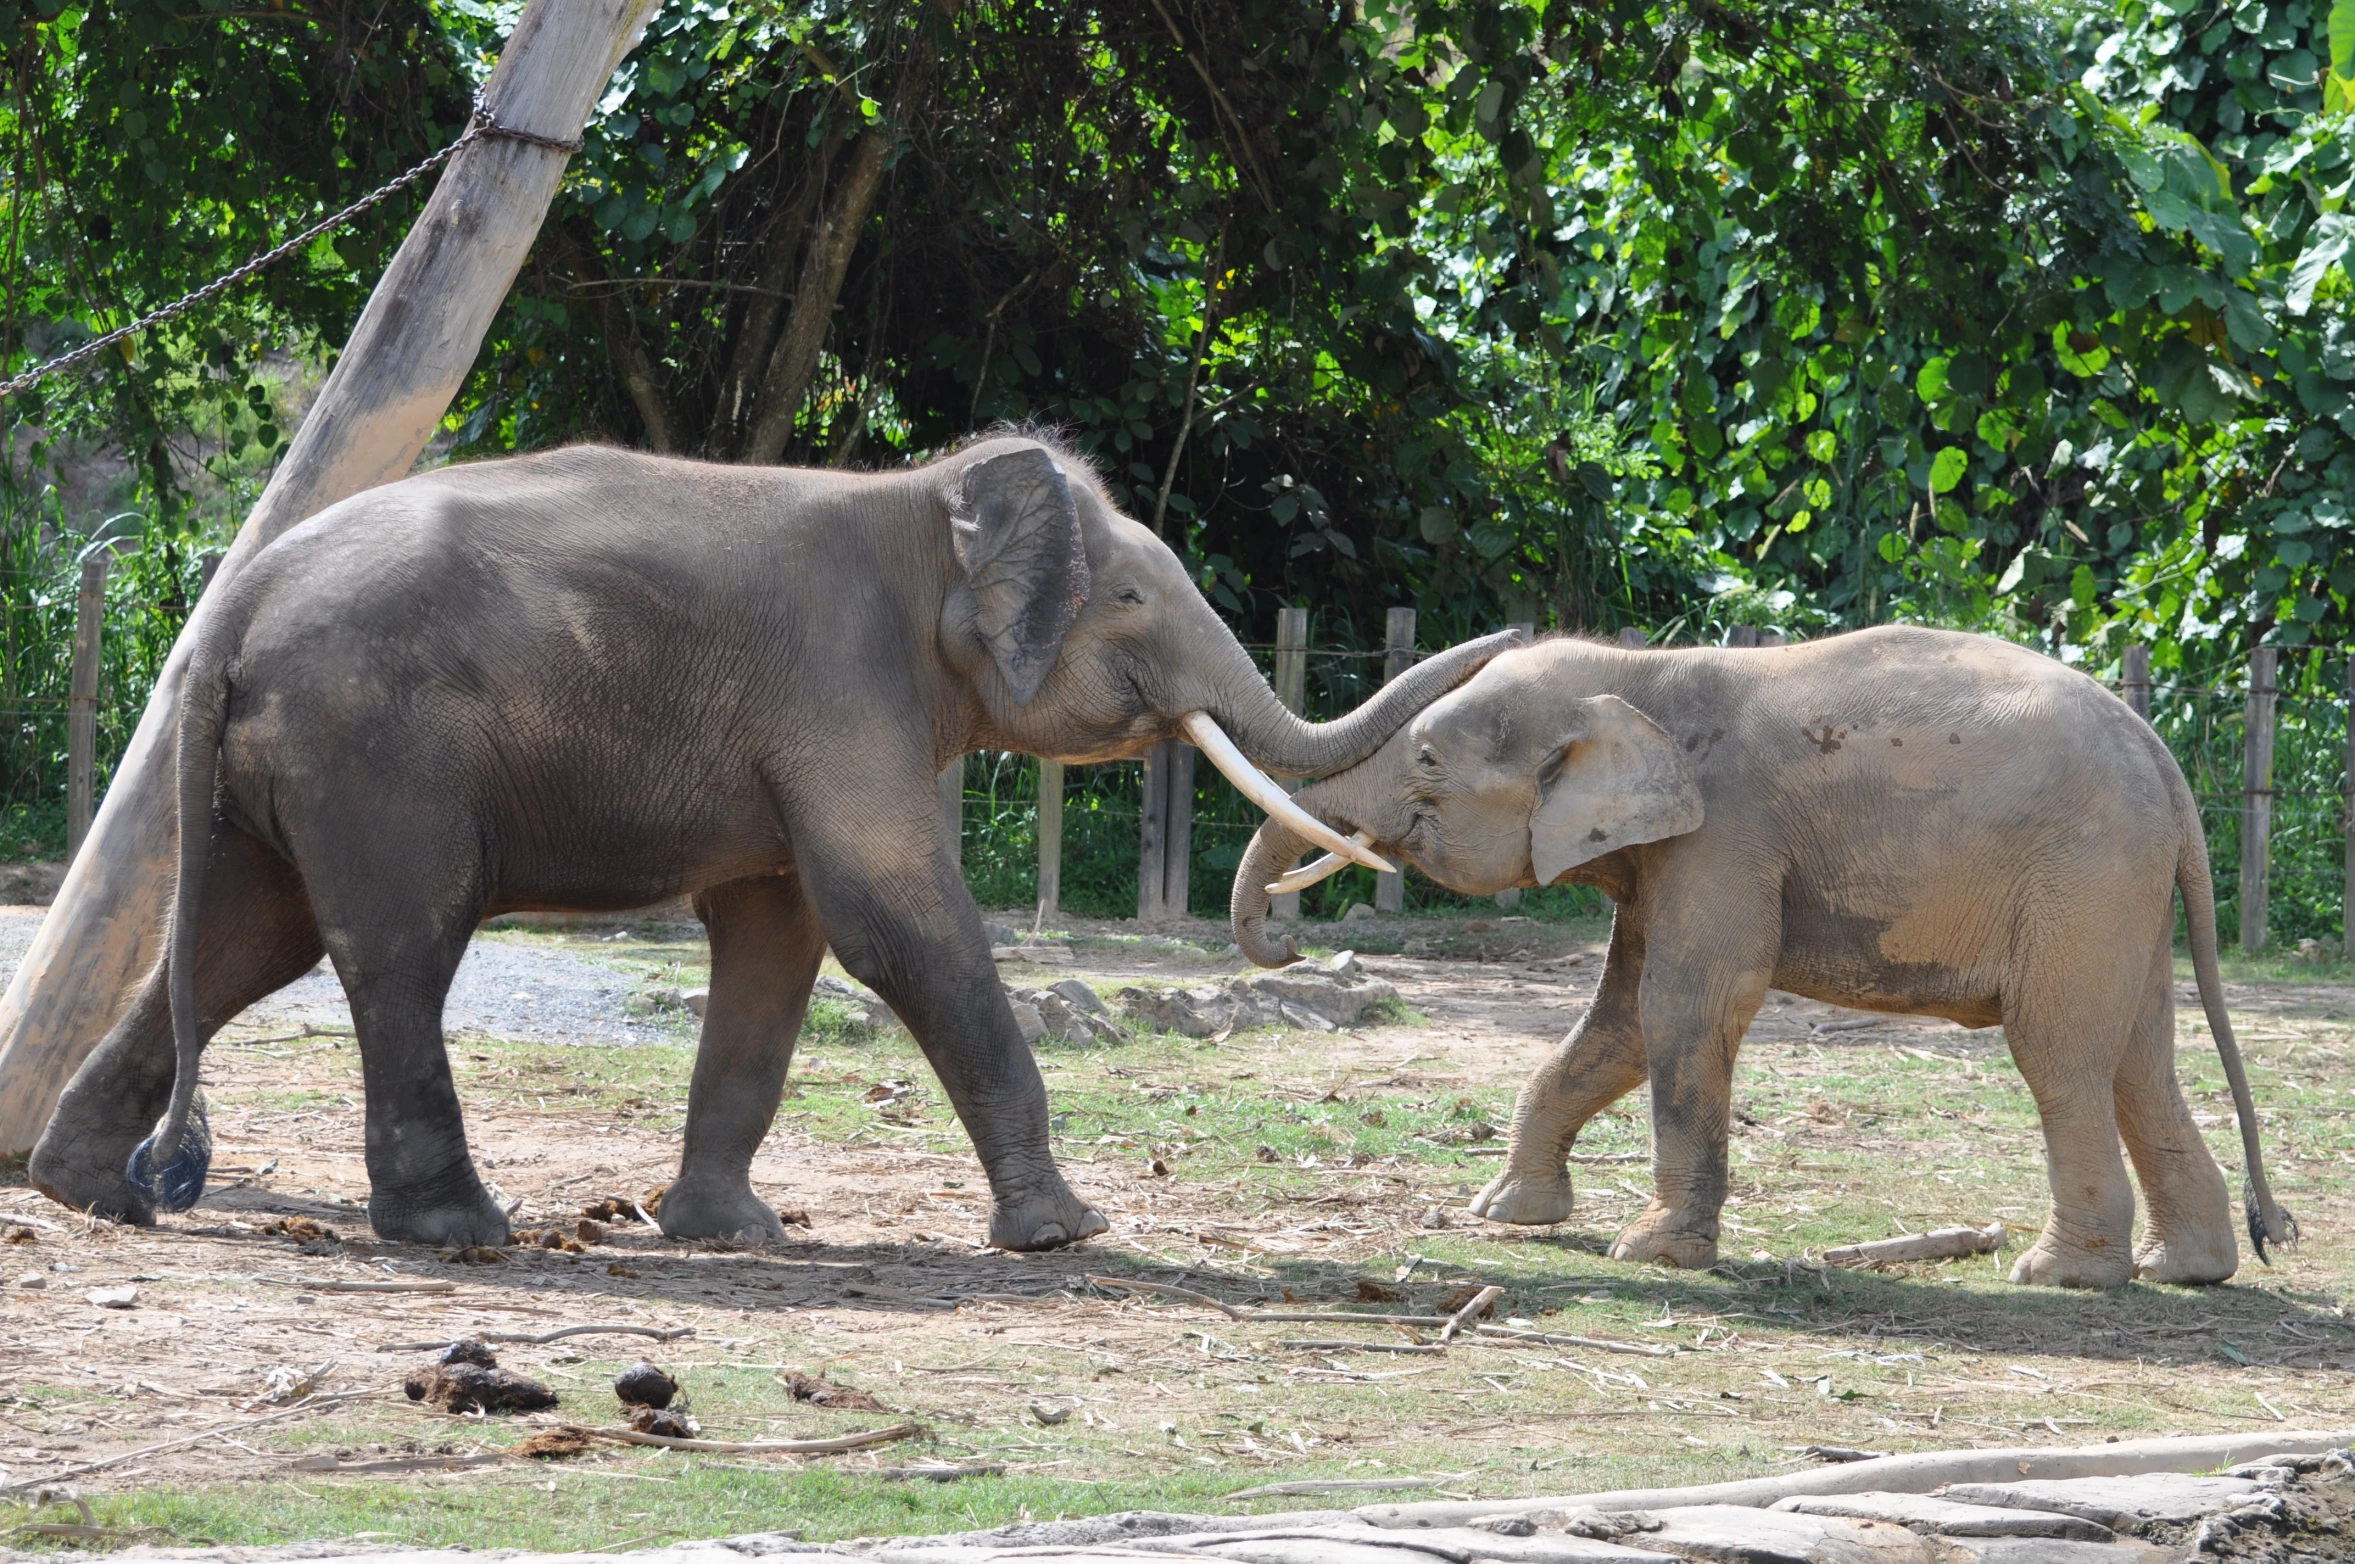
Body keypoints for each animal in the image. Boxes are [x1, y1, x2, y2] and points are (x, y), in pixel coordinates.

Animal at [27, 433, 1507, 1253]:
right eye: (1134, 596)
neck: (922, 503)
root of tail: (230, 607)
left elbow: (779, 934)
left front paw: (726, 1232)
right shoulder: (839, 686)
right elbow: (892, 917)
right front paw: (1064, 1234)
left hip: (284, 767)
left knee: (245, 938)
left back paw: (87, 1190)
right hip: (377, 751)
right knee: (398, 944)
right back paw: (458, 1232)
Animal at [1224, 631, 2289, 1290]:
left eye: (1428, 762)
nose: (1289, 941)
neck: (1640, 672)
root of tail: (2163, 761)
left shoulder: (1724, 834)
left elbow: (1686, 1004)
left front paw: (1649, 1254)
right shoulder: (1667, 854)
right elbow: (1619, 1018)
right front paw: (1508, 1215)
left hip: (2083, 876)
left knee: (2060, 1053)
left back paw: (2057, 1275)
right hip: (2121, 891)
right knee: (2139, 1062)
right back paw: (2182, 1271)